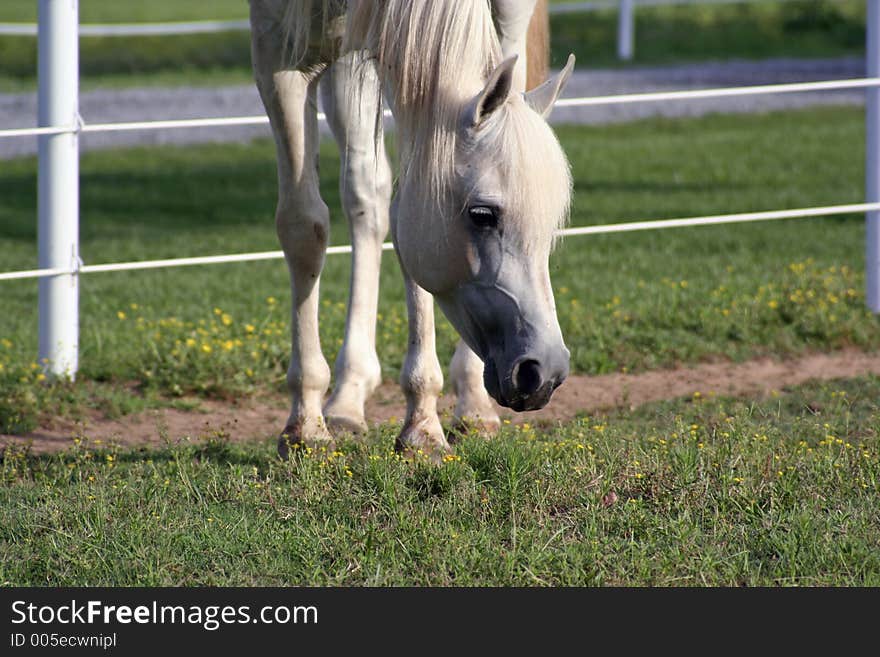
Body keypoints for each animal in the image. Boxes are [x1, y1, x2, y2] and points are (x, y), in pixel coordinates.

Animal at [251, 0, 576, 458]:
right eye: (482, 215)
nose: (544, 373)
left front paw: (422, 425)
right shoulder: (279, 51)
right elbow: (303, 226)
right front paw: (305, 426)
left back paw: (472, 404)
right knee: (365, 194)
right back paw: (348, 398)